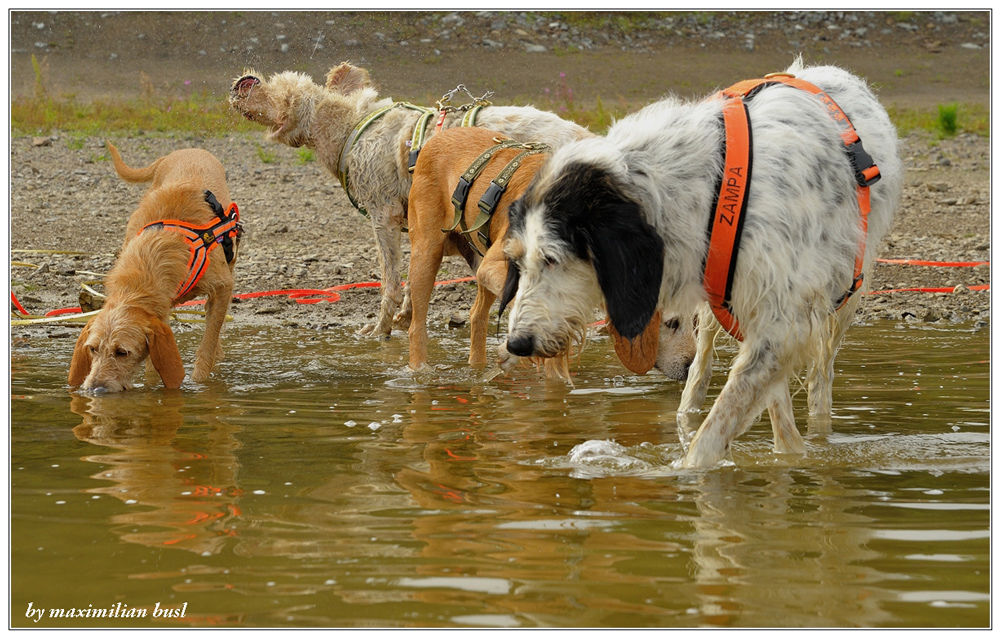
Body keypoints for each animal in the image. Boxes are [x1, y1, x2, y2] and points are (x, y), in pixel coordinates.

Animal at [68, 144, 242, 396]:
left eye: (122, 352)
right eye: (92, 349)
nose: (95, 389)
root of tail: (186, 150)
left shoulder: (222, 286)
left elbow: (207, 345)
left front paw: (201, 384)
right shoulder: (160, 312)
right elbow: (153, 363)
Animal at [230, 62, 588, 340]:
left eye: (277, 86)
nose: (240, 83)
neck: (350, 127)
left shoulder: (384, 213)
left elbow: (390, 279)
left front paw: (380, 328)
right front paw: (404, 317)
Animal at [500, 61, 908, 470]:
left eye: (553, 258)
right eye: (517, 260)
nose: (517, 343)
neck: (706, 190)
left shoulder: (781, 324)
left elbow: (717, 430)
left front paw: (695, 470)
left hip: (843, 298)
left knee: (820, 379)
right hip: (719, 310)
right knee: (702, 369)